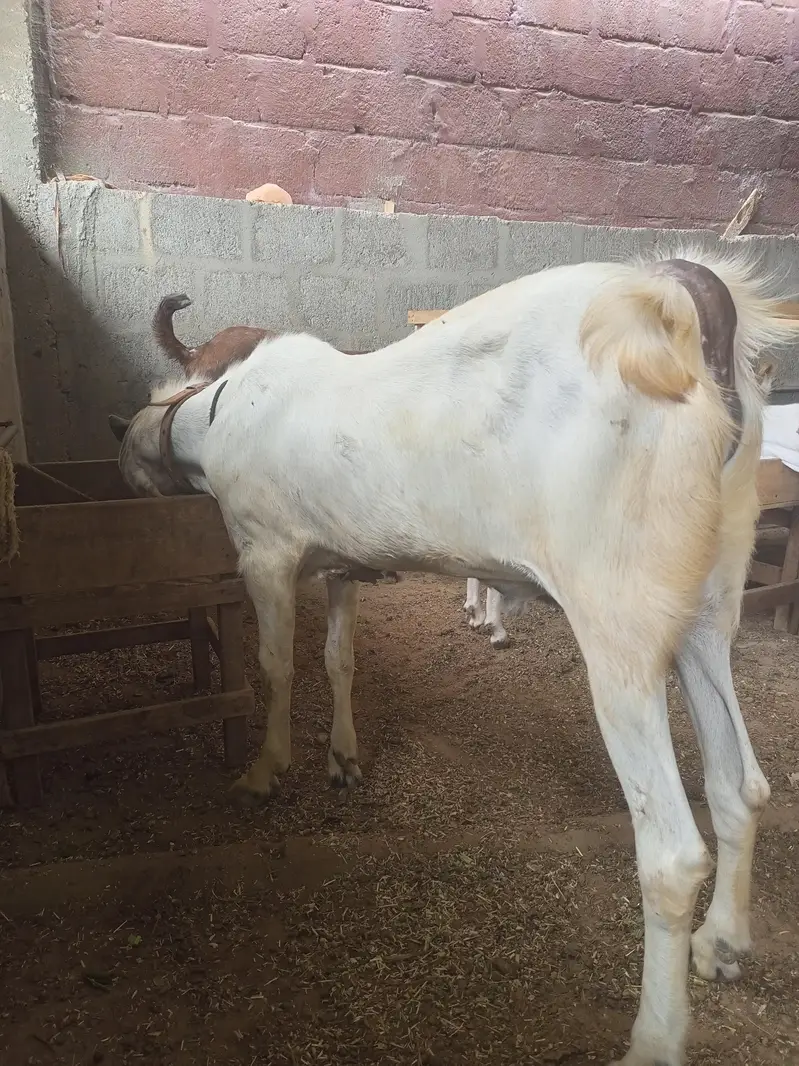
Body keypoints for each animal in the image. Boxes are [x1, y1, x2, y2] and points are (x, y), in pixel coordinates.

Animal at [108, 250, 797, 1066]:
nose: (124, 454)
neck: (219, 413)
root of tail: (683, 294)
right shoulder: (343, 565)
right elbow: (339, 659)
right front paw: (343, 759)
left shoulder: (265, 553)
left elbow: (278, 667)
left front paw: (265, 769)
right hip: (709, 606)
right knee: (738, 783)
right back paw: (721, 942)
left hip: (620, 621)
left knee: (670, 852)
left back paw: (653, 1038)